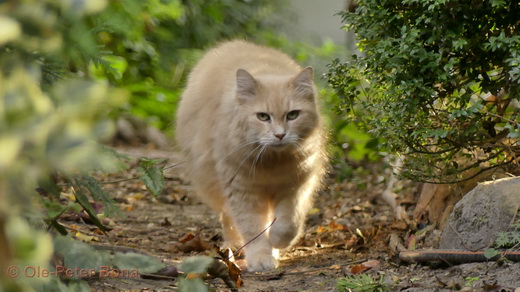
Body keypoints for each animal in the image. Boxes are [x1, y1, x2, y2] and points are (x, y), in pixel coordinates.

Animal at [177, 39, 328, 272]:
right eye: (263, 117)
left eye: (293, 115)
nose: (279, 134)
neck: (273, 163)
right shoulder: (242, 190)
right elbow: (253, 229)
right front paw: (261, 258)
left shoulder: (295, 188)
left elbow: (288, 224)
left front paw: (277, 242)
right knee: (229, 218)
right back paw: (234, 246)